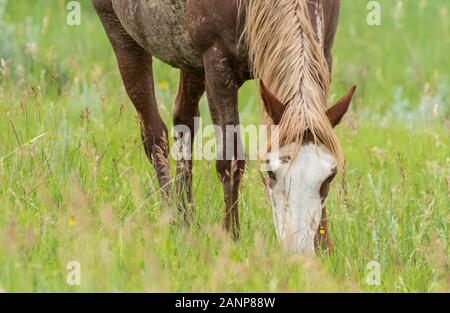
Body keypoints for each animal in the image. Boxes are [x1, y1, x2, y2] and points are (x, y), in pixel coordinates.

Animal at [93, 0, 356, 252]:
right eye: (270, 173)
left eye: (330, 176)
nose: (298, 250)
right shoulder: (217, 64)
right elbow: (230, 159)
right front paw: (232, 237)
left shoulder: (324, 55)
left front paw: (324, 246)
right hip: (121, 34)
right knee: (154, 134)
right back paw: (172, 216)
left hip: (191, 61)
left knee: (183, 120)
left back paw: (186, 219)